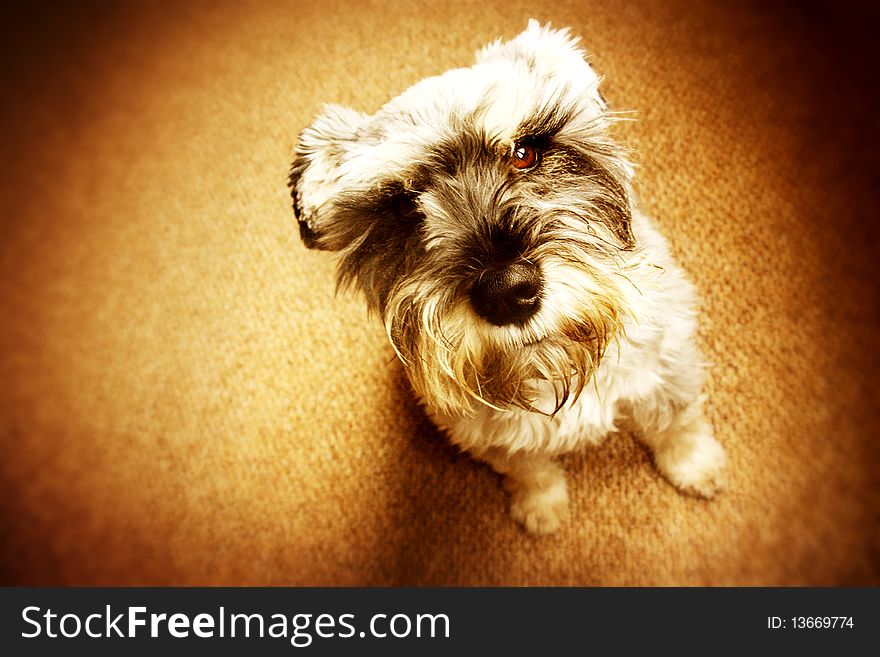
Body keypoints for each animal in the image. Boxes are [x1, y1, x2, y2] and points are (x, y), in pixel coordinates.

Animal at [286, 20, 724, 532]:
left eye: (524, 152)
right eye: (402, 206)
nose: (508, 293)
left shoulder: (669, 364)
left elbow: (677, 422)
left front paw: (695, 465)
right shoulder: (486, 435)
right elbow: (529, 468)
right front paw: (542, 508)